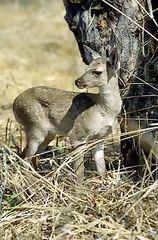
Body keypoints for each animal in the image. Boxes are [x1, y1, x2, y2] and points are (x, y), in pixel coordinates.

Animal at [12, 46, 121, 182]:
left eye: (97, 72)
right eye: (86, 68)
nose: (77, 81)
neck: (104, 111)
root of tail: (15, 103)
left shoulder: (101, 138)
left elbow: (102, 170)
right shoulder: (77, 135)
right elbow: (80, 173)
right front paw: (79, 187)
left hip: (48, 134)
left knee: (27, 157)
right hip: (34, 127)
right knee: (25, 160)